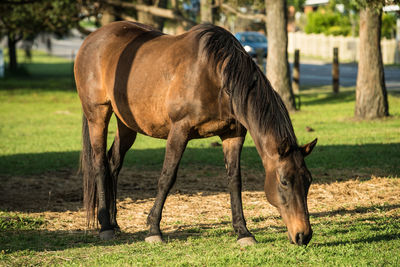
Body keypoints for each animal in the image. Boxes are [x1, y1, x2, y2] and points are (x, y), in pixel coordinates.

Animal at [75, 21, 318, 247]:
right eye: (284, 181)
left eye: (308, 180)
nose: (303, 235)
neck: (215, 74)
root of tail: (92, 38)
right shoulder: (179, 131)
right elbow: (167, 177)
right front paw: (153, 229)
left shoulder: (233, 135)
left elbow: (235, 181)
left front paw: (243, 232)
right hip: (98, 115)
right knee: (100, 164)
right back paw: (105, 226)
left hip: (127, 124)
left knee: (114, 163)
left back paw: (115, 223)